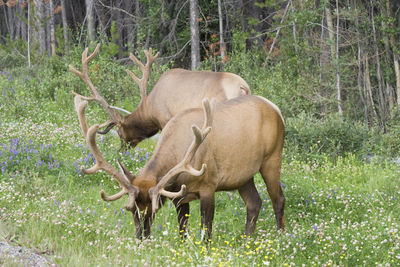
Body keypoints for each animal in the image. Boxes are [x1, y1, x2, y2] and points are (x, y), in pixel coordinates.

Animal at [73, 94, 286, 241]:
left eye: (153, 210)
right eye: (132, 210)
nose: (141, 239)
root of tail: (276, 108)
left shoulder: (209, 185)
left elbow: (206, 231)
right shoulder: (179, 196)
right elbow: (183, 231)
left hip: (272, 158)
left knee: (278, 200)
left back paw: (281, 238)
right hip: (243, 175)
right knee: (254, 202)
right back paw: (247, 241)